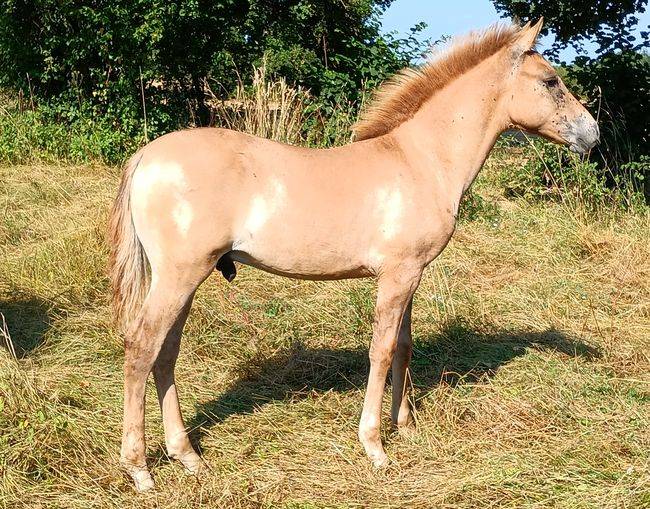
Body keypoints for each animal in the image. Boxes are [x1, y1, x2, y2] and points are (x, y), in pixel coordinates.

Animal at [109, 19, 599, 491]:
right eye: (551, 81)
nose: (591, 133)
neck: (422, 161)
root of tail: (146, 157)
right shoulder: (397, 275)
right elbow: (381, 350)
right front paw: (375, 446)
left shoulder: (412, 275)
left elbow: (403, 345)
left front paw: (407, 428)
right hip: (179, 276)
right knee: (142, 347)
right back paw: (140, 470)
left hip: (186, 278)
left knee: (166, 352)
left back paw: (188, 457)